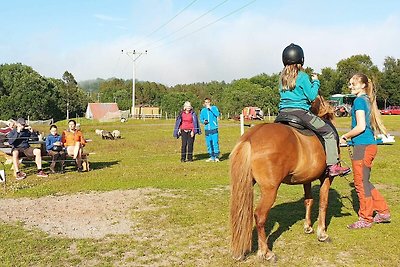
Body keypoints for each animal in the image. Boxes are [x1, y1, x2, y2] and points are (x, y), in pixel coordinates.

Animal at [230, 96, 336, 262]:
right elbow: (323, 203)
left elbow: (309, 200)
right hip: (270, 190)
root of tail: (250, 138)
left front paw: (308, 226)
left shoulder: (307, 179)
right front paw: (322, 233)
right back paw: (266, 253)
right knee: (259, 216)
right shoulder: (326, 177)